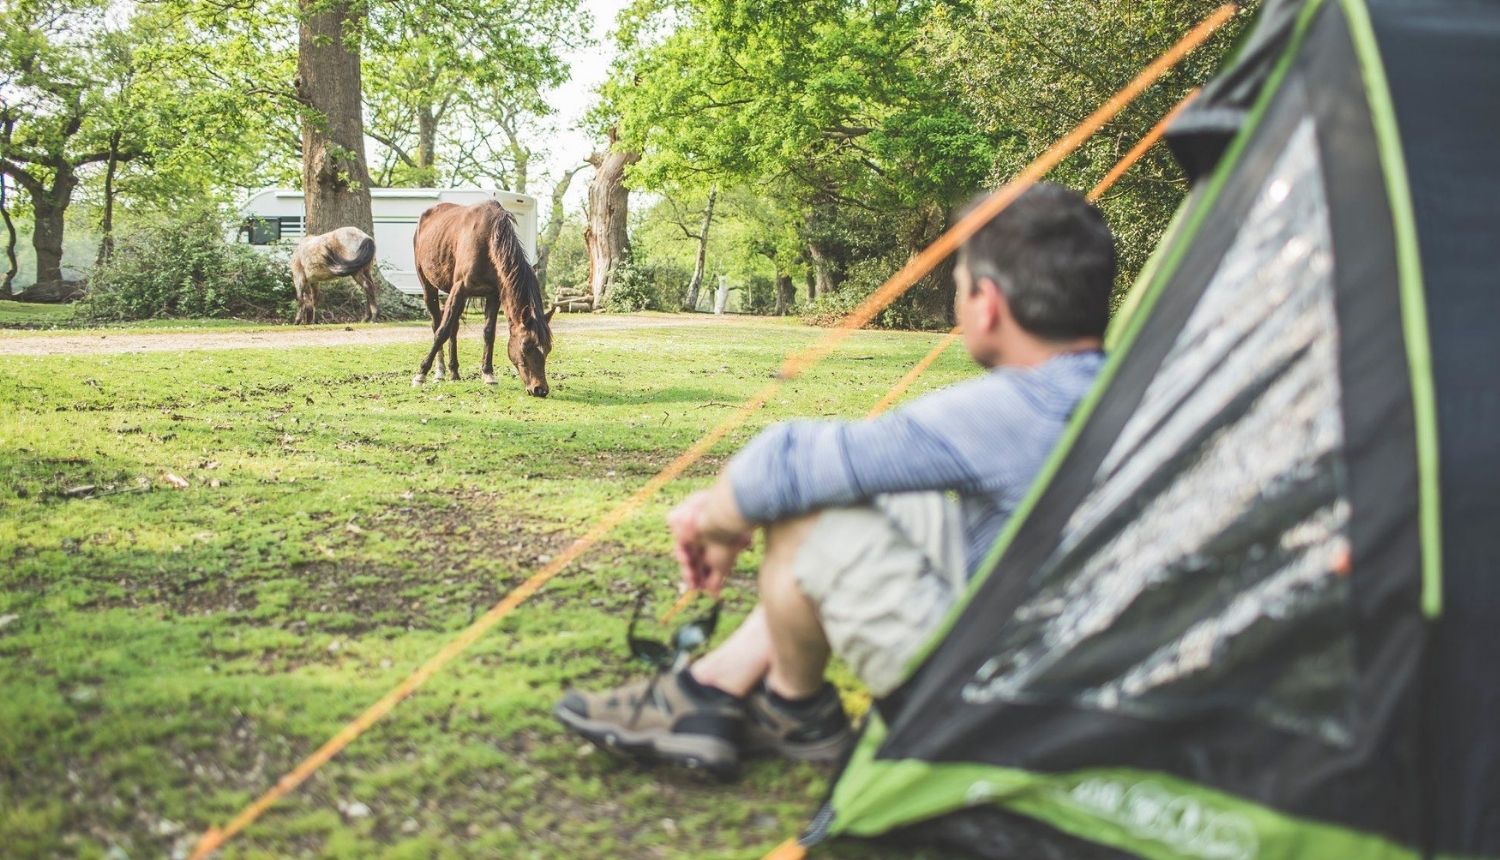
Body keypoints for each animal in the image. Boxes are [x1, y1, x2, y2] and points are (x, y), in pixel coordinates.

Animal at [408, 198, 555, 396]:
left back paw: (454, 372)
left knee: (454, 328)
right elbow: (441, 332)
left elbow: (488, 333)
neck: (489, 242)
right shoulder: (459, 289)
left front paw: (488, 374)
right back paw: (440, 371)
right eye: (526, 345)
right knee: (437, 324)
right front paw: (421, 373)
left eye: (548, 348)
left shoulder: (493, 295)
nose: (540, 389)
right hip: (429, 287)